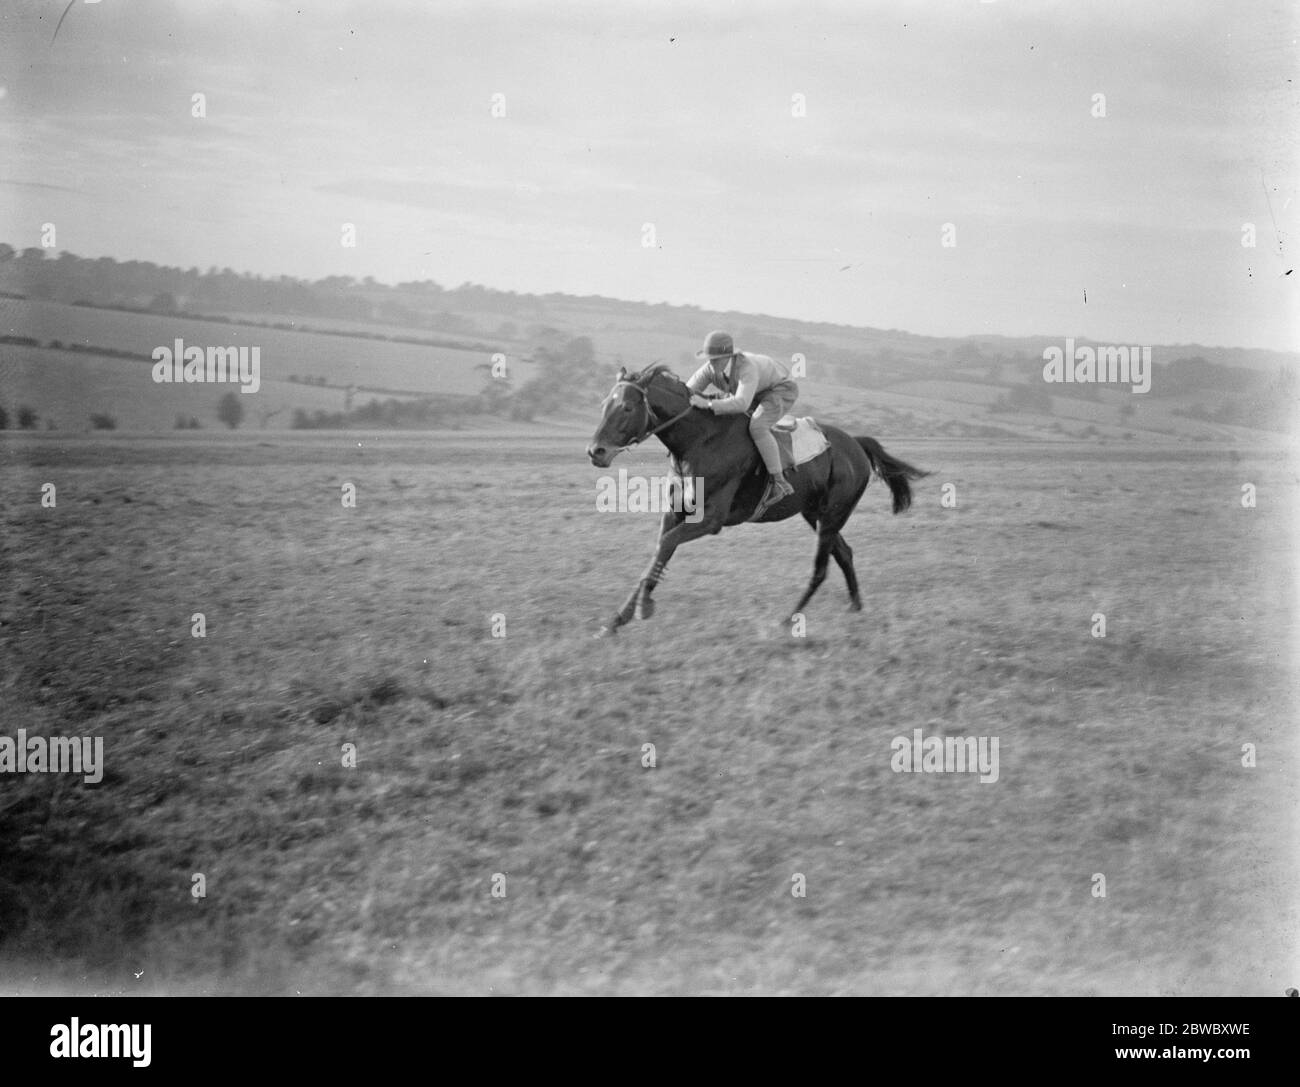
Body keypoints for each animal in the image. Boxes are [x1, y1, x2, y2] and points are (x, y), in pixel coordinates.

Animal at [585, 364, 930, 637]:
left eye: (627, 408)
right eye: (603, 404)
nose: (595, 452)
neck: (699, 441)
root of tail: (856, 444)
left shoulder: (710, 520)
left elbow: (666, 545)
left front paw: (642, 607)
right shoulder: (675, 513)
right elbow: (660, 551)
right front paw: (618, 619)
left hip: (833, 514)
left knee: (821, 568)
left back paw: (789, 618)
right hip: (815, 514)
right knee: (844, 554)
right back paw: (856, 607)